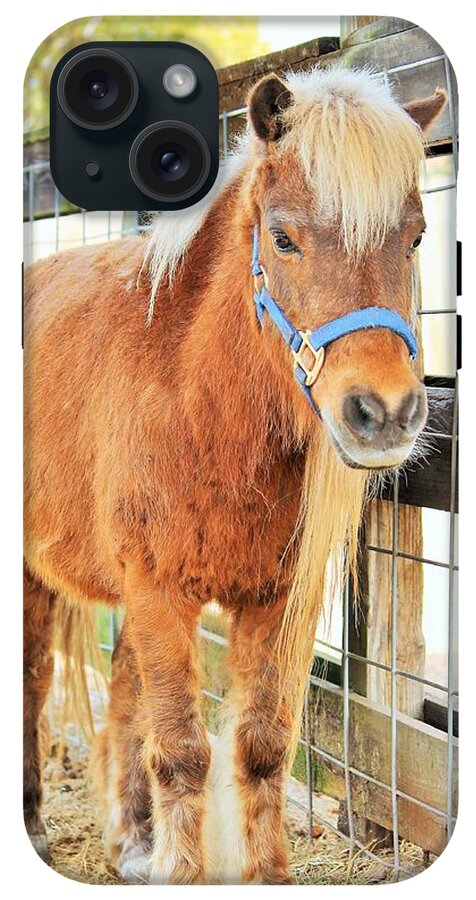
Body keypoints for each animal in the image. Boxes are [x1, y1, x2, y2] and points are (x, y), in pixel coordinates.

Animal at [23, 65, 446, 884]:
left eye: (415, 237)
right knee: (33, 683)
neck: (198, 402)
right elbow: (184, 754)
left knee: (123, 693)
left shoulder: (272, 601)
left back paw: (131, 843)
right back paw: (33, 826)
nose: (384, 411)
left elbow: (260, 748)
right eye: (282, 238)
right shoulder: (158, 592)